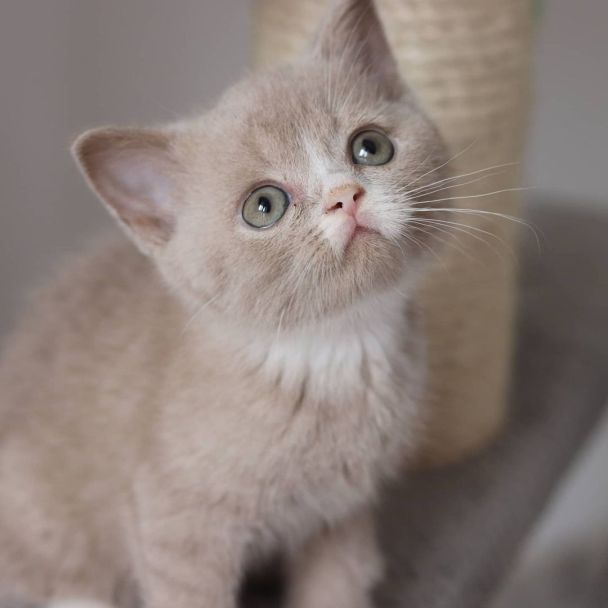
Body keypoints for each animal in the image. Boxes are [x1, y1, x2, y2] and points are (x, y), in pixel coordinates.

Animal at [0, 1, 446, 608]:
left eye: (370, 147)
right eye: (264, 206)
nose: (345, 197)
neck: (332, 350)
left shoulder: (342, 513)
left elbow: (338, 583)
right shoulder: (175, 528)